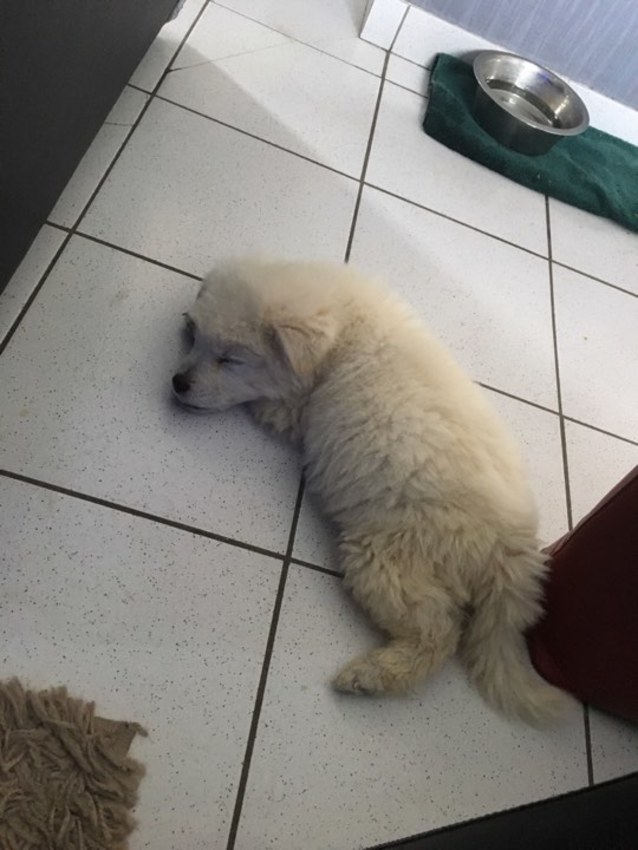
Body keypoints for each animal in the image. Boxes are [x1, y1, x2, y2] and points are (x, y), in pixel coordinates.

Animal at [172, 258, 571, 724]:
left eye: (231, 359)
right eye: (198, 339)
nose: (177, 383)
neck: (342, 335)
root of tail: (511, 549)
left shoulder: (298, 410)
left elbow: (267, 405)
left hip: (385, 557)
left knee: (438, 632)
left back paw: (370, 675)